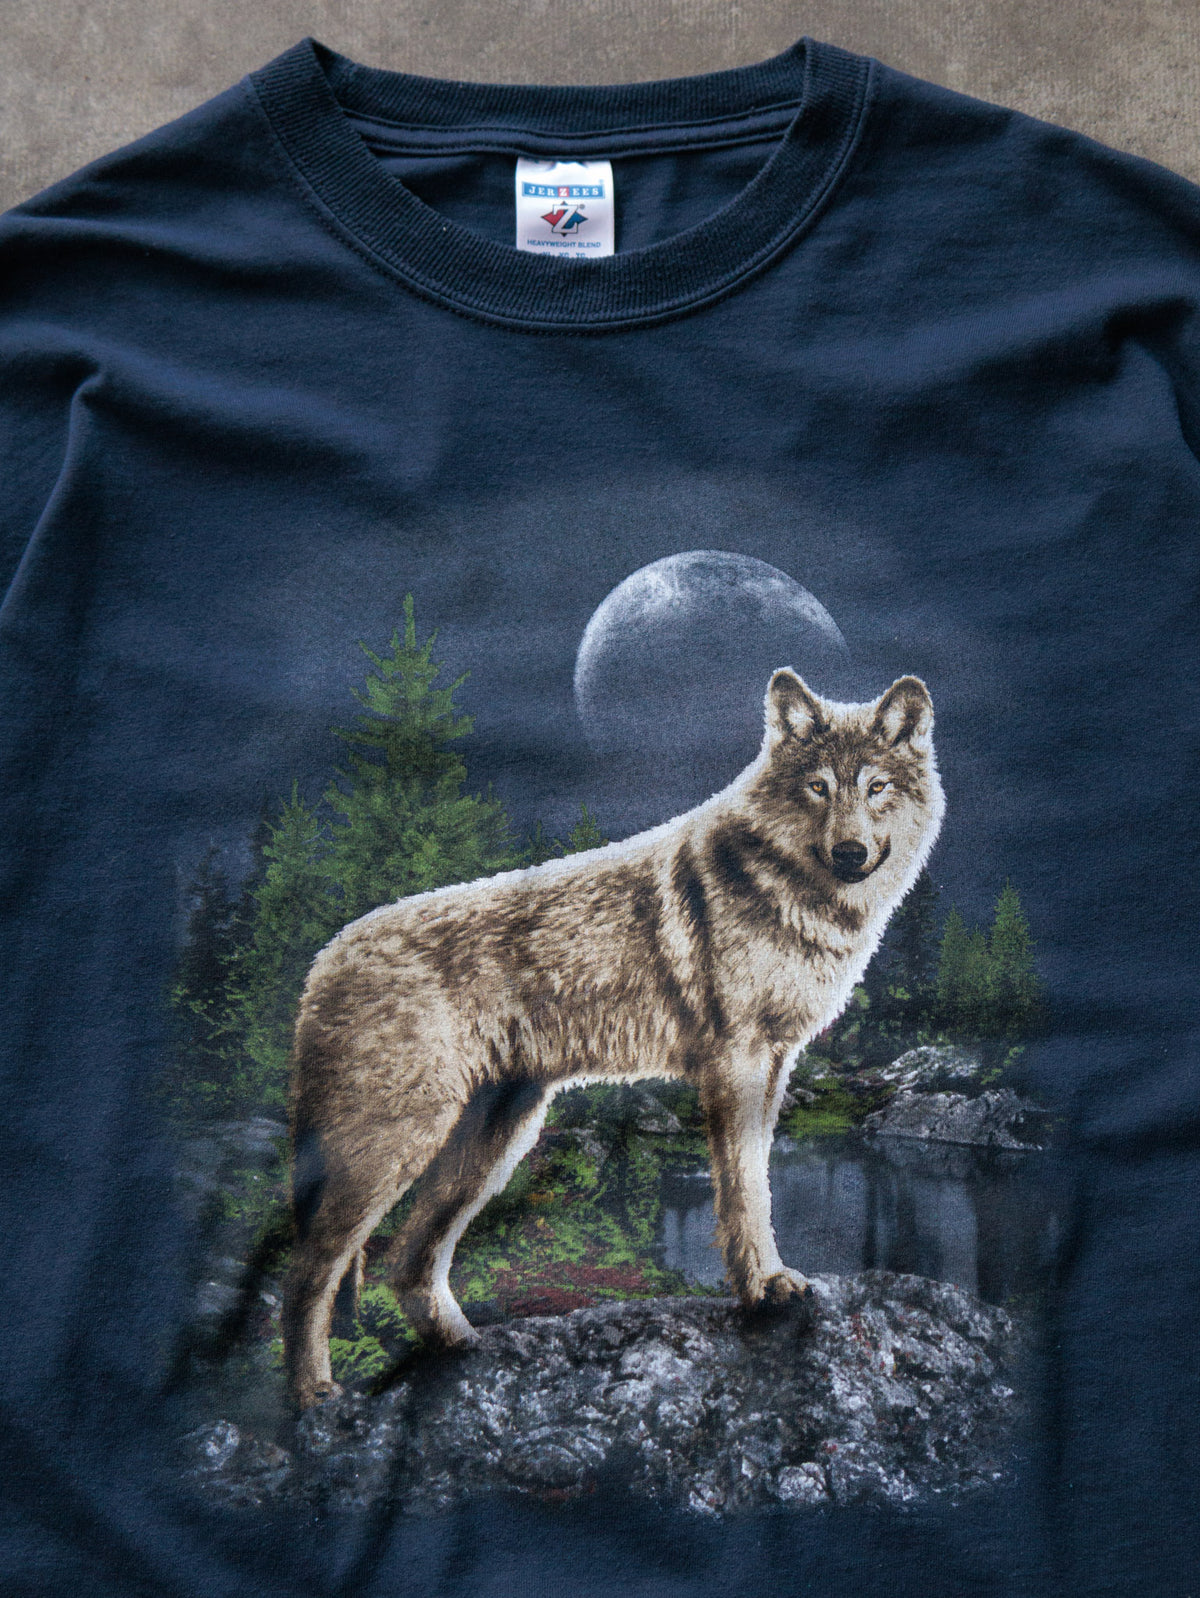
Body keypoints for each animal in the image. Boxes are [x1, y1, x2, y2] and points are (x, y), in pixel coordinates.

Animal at [282, 670, 944, 1408]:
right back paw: (311, 1398)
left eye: (876, 787)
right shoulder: (737, 1063)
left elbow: (758, 1182)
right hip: (399, 1146)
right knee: (308, 1272)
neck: (794, 893)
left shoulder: (776, 1063)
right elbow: (746, 1192)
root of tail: (325, 959)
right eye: (819, 787)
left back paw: (463, 1348)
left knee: (405, 1262)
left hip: (495, 1144)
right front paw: (763, 1289)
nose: (850, 853)